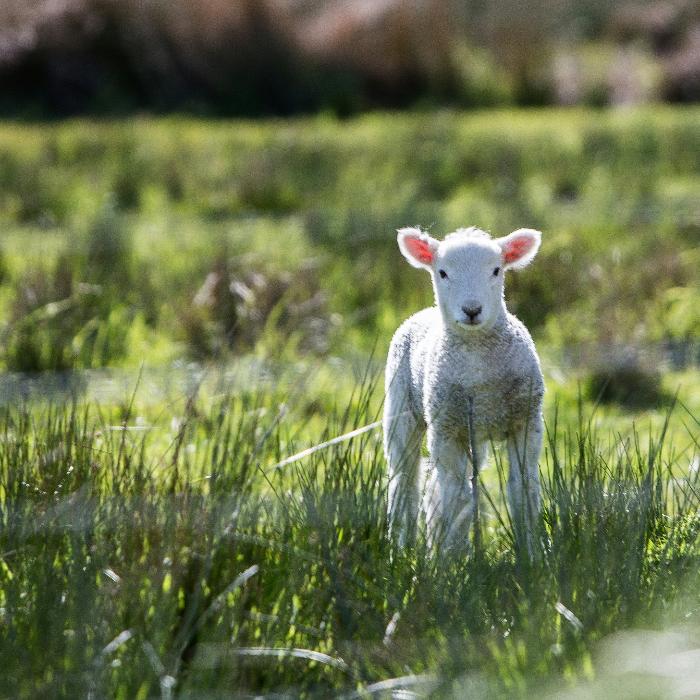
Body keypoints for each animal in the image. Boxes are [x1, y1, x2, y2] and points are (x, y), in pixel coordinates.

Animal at [386, 224, 544, 552]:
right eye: (443, 272)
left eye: (496, 270)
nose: (472, 310)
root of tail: (423, 312)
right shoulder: (446, 430)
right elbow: (455, 498)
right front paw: (451, 557)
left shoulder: (526, 422)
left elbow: (523, 490)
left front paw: (532, 552)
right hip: (401, 408)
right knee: (404, 481)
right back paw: (401, 547)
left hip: (474, 433)